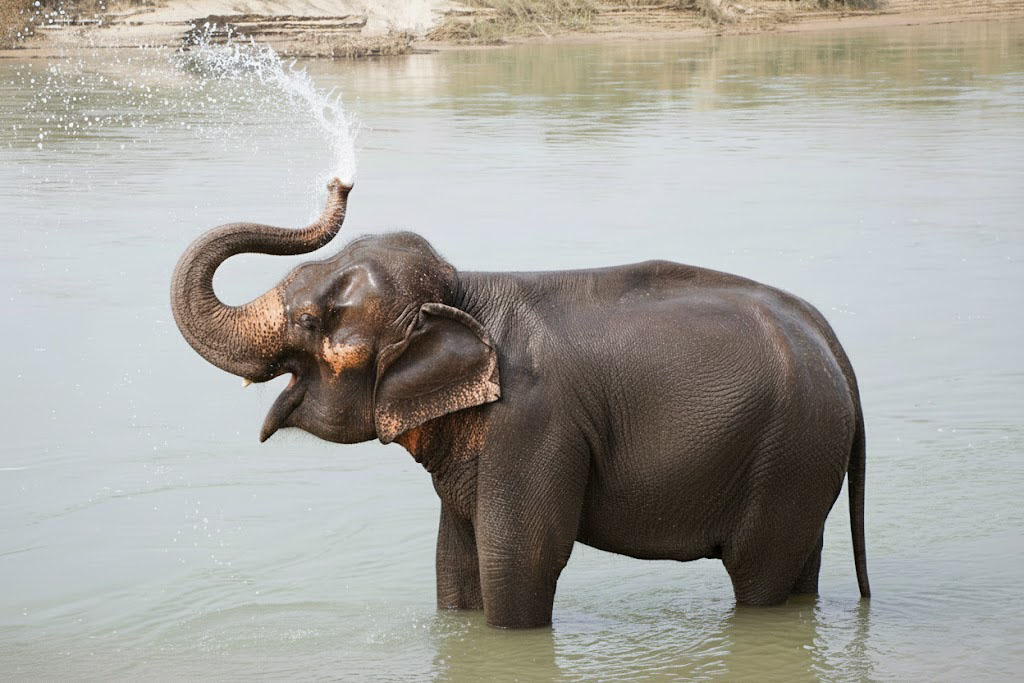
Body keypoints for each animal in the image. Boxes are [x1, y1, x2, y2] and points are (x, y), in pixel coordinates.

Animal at [171, 179, 870, 628]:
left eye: (312, 321)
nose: (342, 180)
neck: (465, 291)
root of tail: (835, 346)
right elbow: (455, 561)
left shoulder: (534, 423)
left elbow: (517, 558)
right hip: (805, 457)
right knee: (798, 568)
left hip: (789, 452)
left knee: (758, 575)